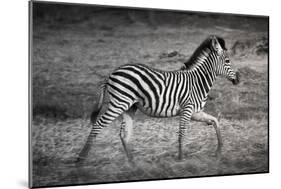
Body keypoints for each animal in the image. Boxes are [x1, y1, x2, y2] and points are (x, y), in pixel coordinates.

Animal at [76, 35, 238, 162]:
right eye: (228, 61)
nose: (238, 79)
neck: (197, 82)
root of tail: (111, 74)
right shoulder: (187, 109)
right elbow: (182, 133)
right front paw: (181, 159)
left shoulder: (195, 112)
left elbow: (215, 121)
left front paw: (219, 151)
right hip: (119, 104)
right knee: (98, 125)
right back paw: (81, 159)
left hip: (129, 107)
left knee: (124, 134)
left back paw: (133, 163)